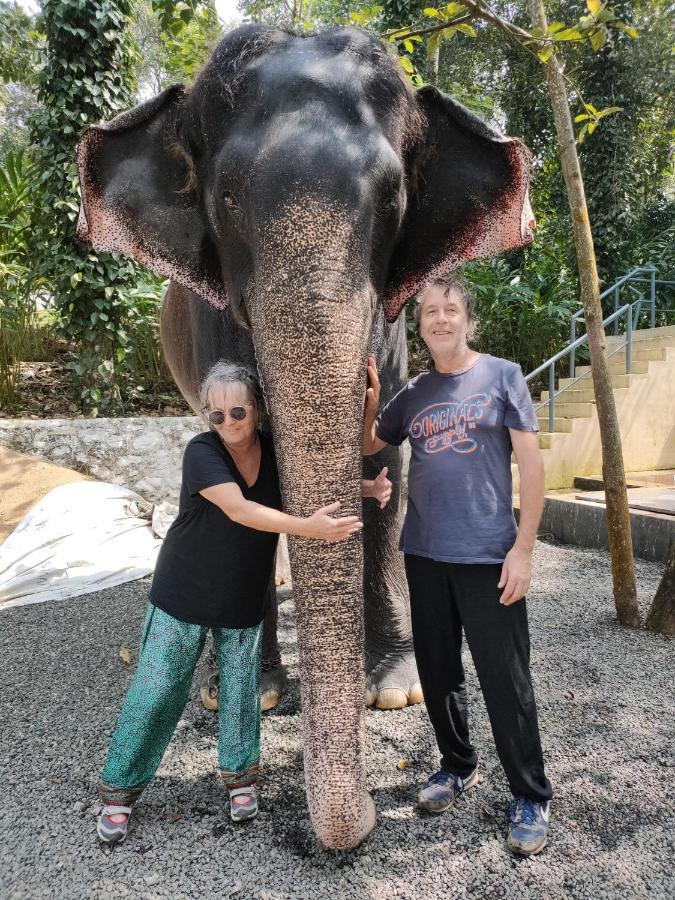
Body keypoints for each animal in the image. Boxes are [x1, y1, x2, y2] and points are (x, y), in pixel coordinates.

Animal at [76, 22, 536, 852]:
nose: (366, 823)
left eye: (391, 199)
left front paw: (393, 690)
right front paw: (255, 691)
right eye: (226, 198)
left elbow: (387, 462)